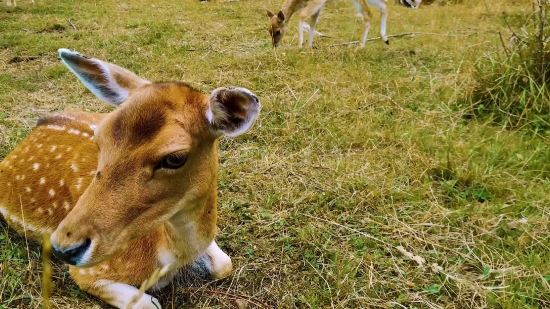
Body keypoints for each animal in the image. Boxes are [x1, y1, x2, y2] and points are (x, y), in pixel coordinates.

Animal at [0, 48, 262, 308]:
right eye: (99, 138)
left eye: (175, 158)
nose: (64, 248)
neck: (168, 256)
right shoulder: (88, 272)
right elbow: (151, 303)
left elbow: (225, 264)